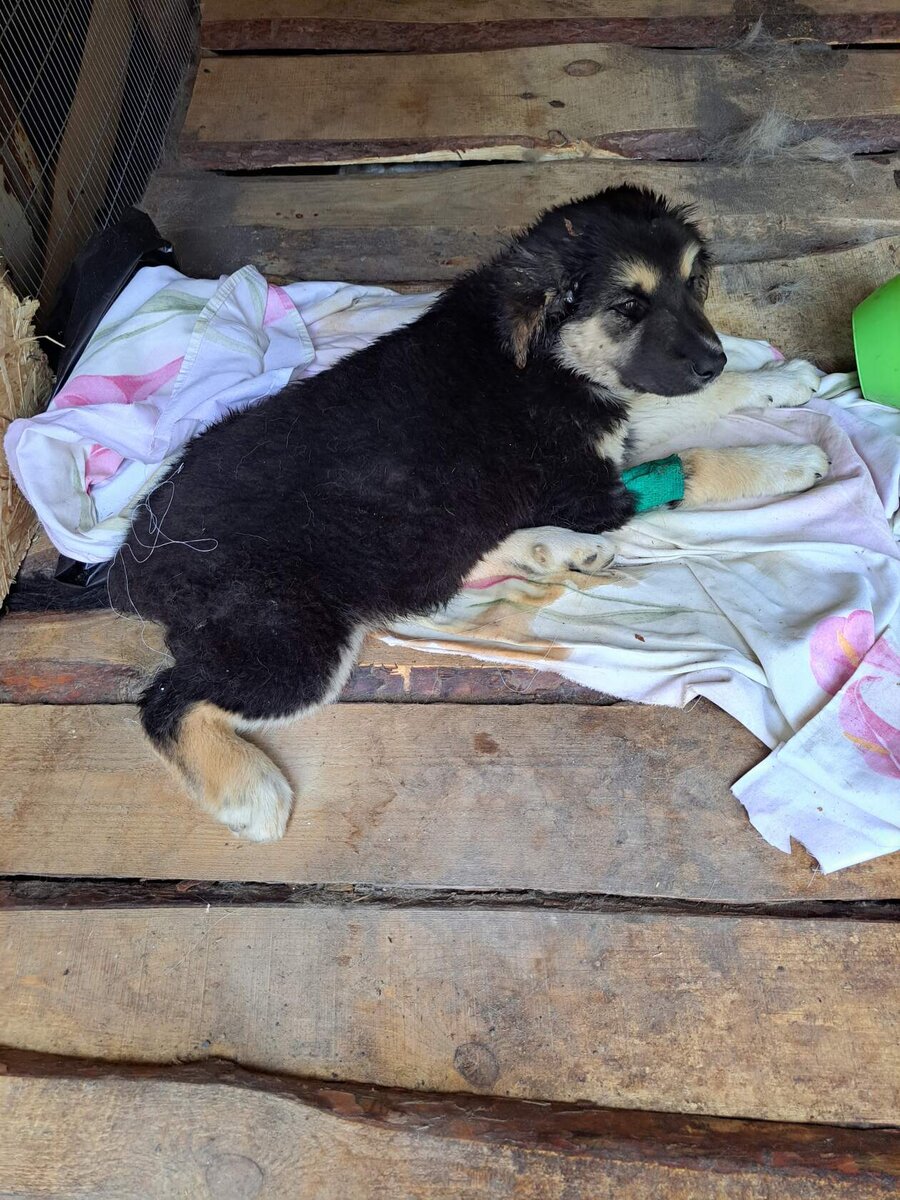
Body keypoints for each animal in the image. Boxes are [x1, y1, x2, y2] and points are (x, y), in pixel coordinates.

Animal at [111, 189, 825, 844]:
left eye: (690, 282)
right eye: (629, 307)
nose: (715, 360)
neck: (545, 358)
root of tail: (129, 565)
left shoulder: (615, 422)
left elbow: (663, 408)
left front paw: (779, 382)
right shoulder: (585, 491)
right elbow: (699, 460)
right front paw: (793, 459)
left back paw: (552, 550)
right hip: (290, 636)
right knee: (166, 702)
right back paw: (249, 795)